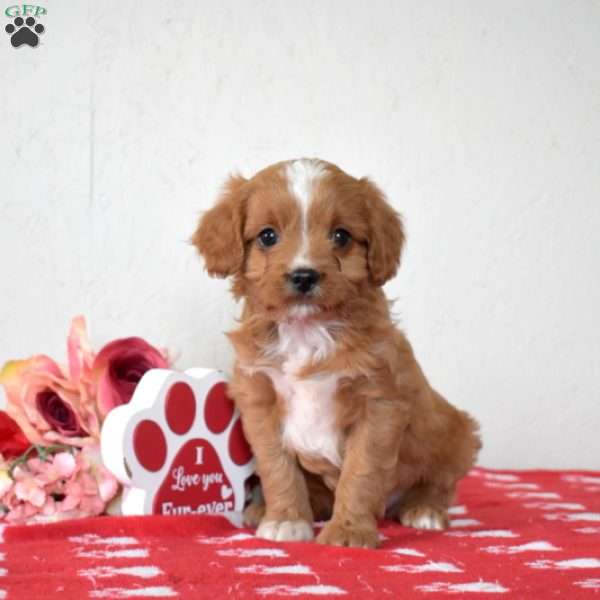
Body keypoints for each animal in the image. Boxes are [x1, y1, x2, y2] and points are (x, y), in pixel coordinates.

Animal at [192, 158, 482, 548]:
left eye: (341, 236)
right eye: (268, 236)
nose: (304, 276)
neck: (307, 331)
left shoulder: (379, 404)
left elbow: (361, 472)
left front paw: (349, 532)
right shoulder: (260, 401)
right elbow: (277, 466)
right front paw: (286, 519)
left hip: (455, 434)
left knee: (441, 480)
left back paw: (424, 508)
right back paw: (267, 508)